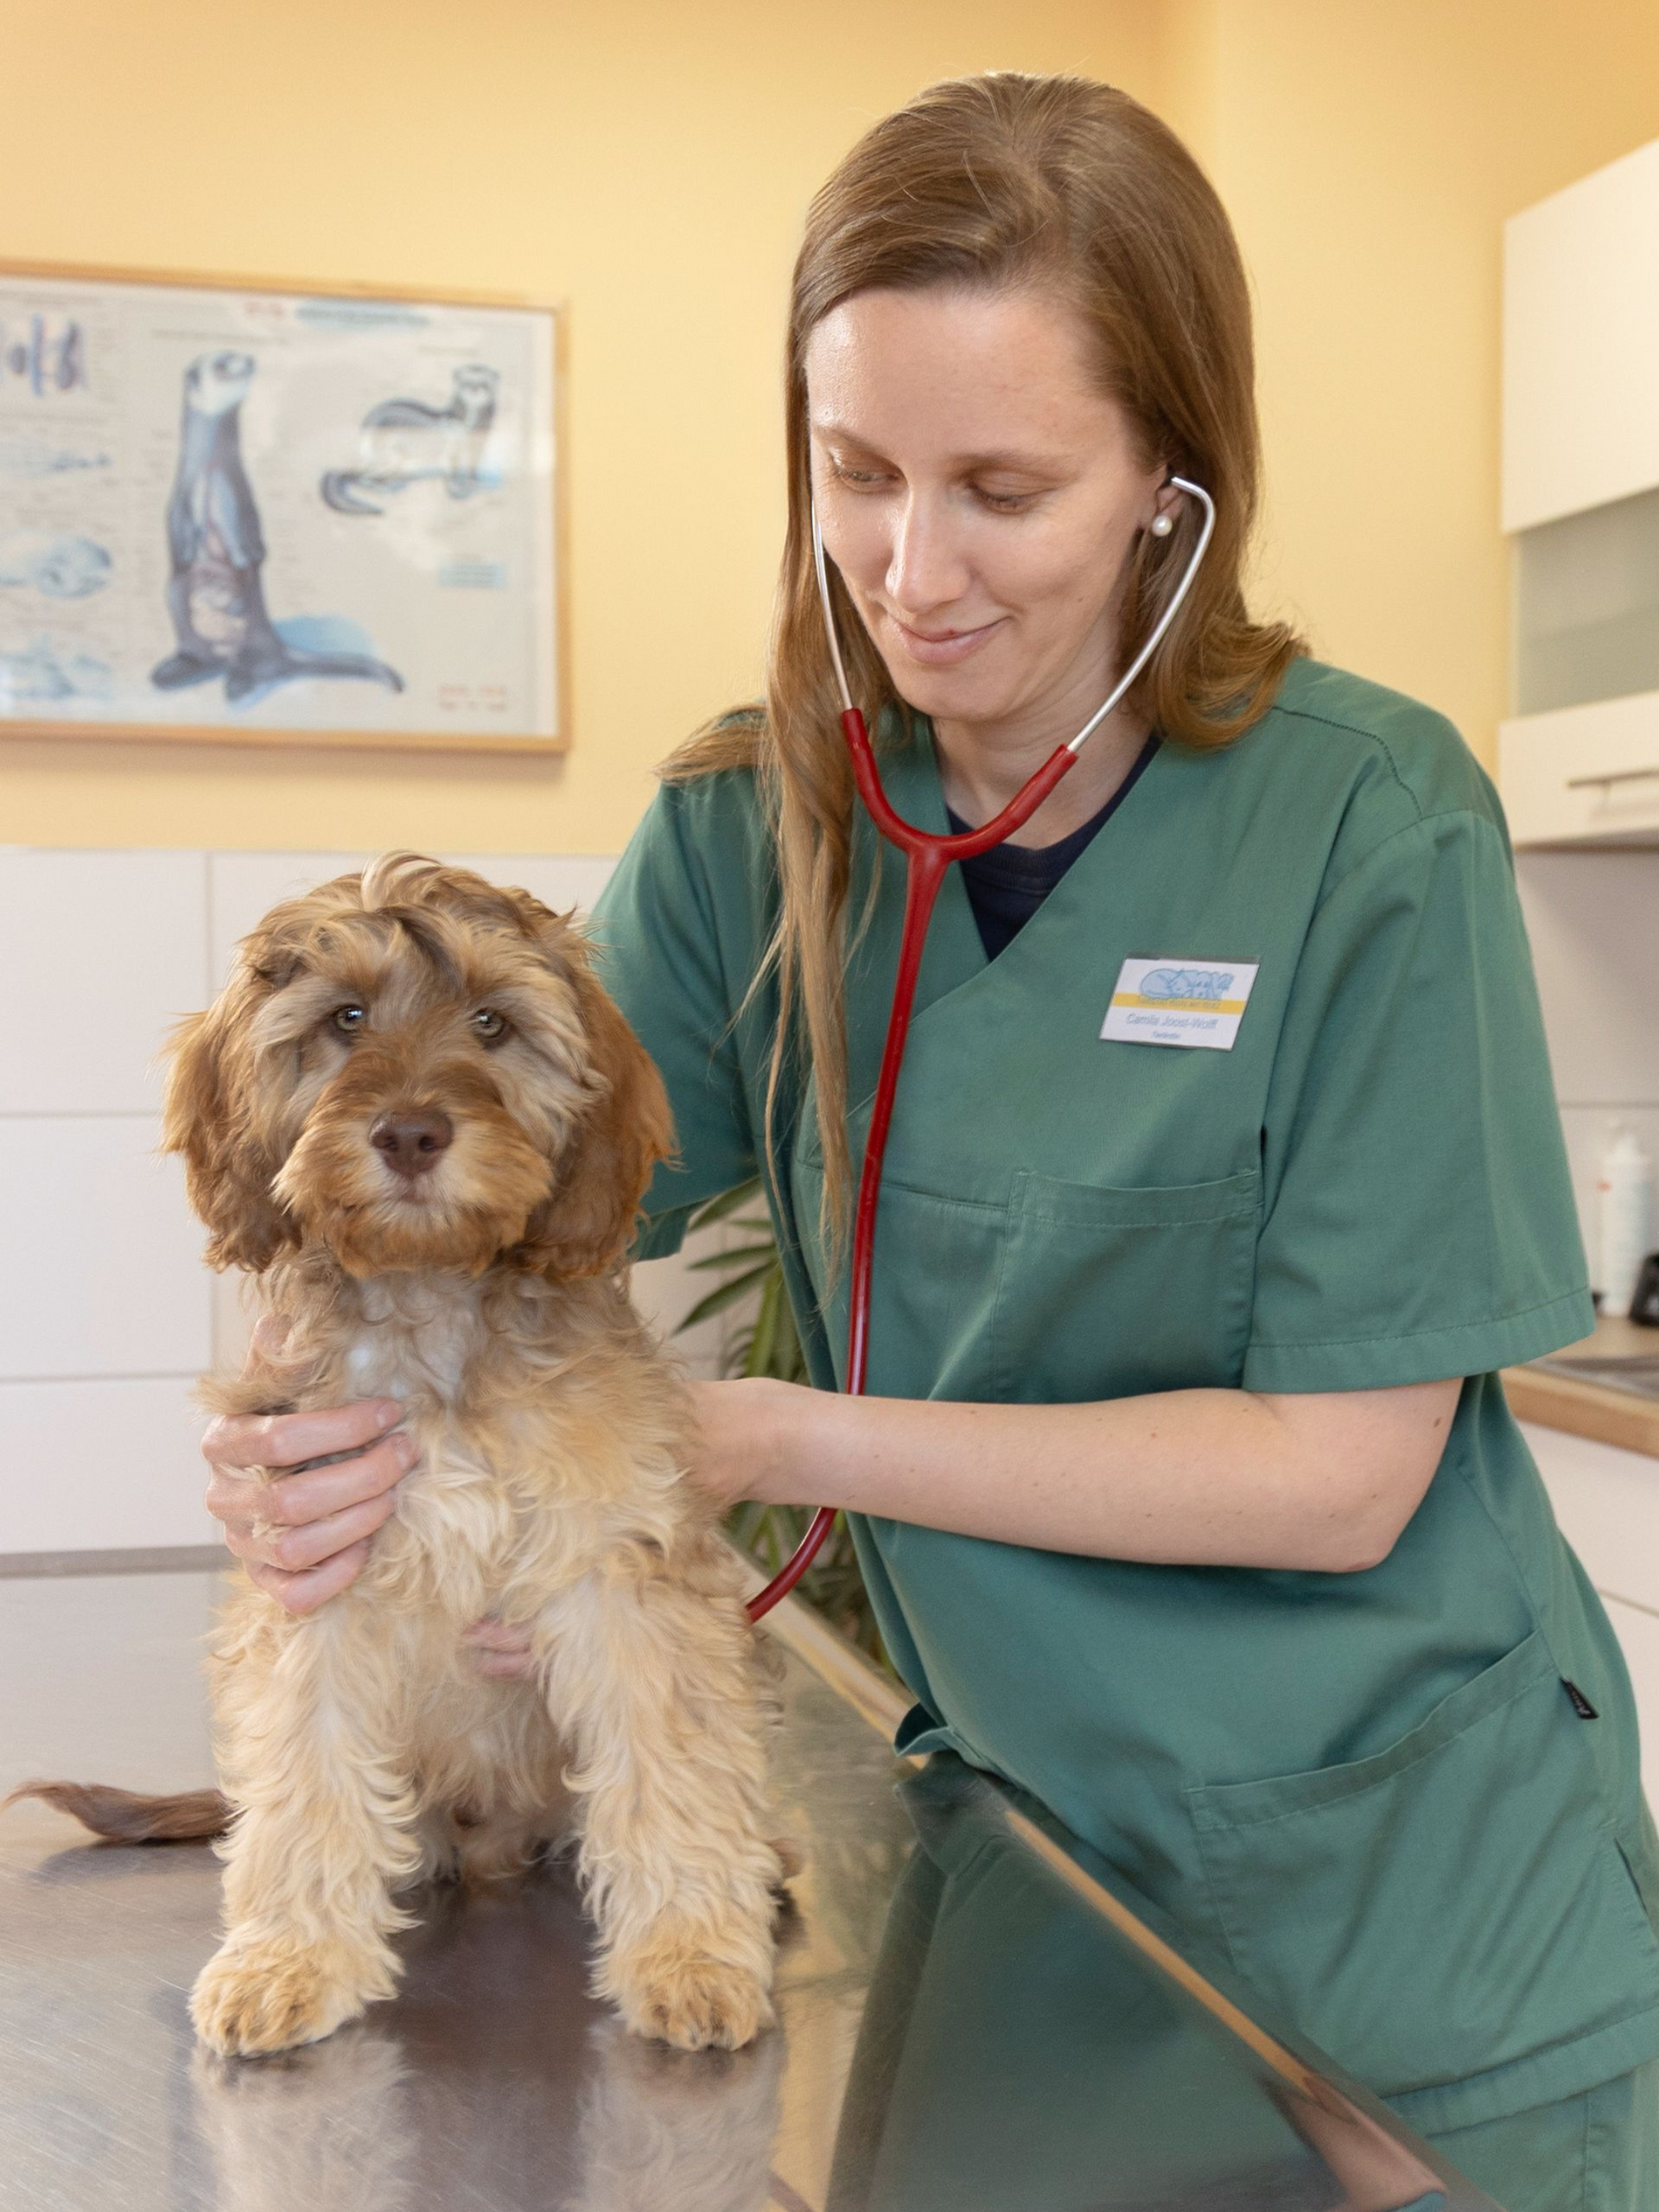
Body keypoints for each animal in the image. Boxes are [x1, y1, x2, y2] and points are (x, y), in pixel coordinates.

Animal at [15, 854, 787, 2057]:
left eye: (492, 1023)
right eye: (346, 1018)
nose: (413, 1133)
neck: (434, 1301)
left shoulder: (625, 1571)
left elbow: (674, 1763)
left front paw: (692, 1953)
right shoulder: (315, 1570)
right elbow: (306, 1769)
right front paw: (288, 1955)